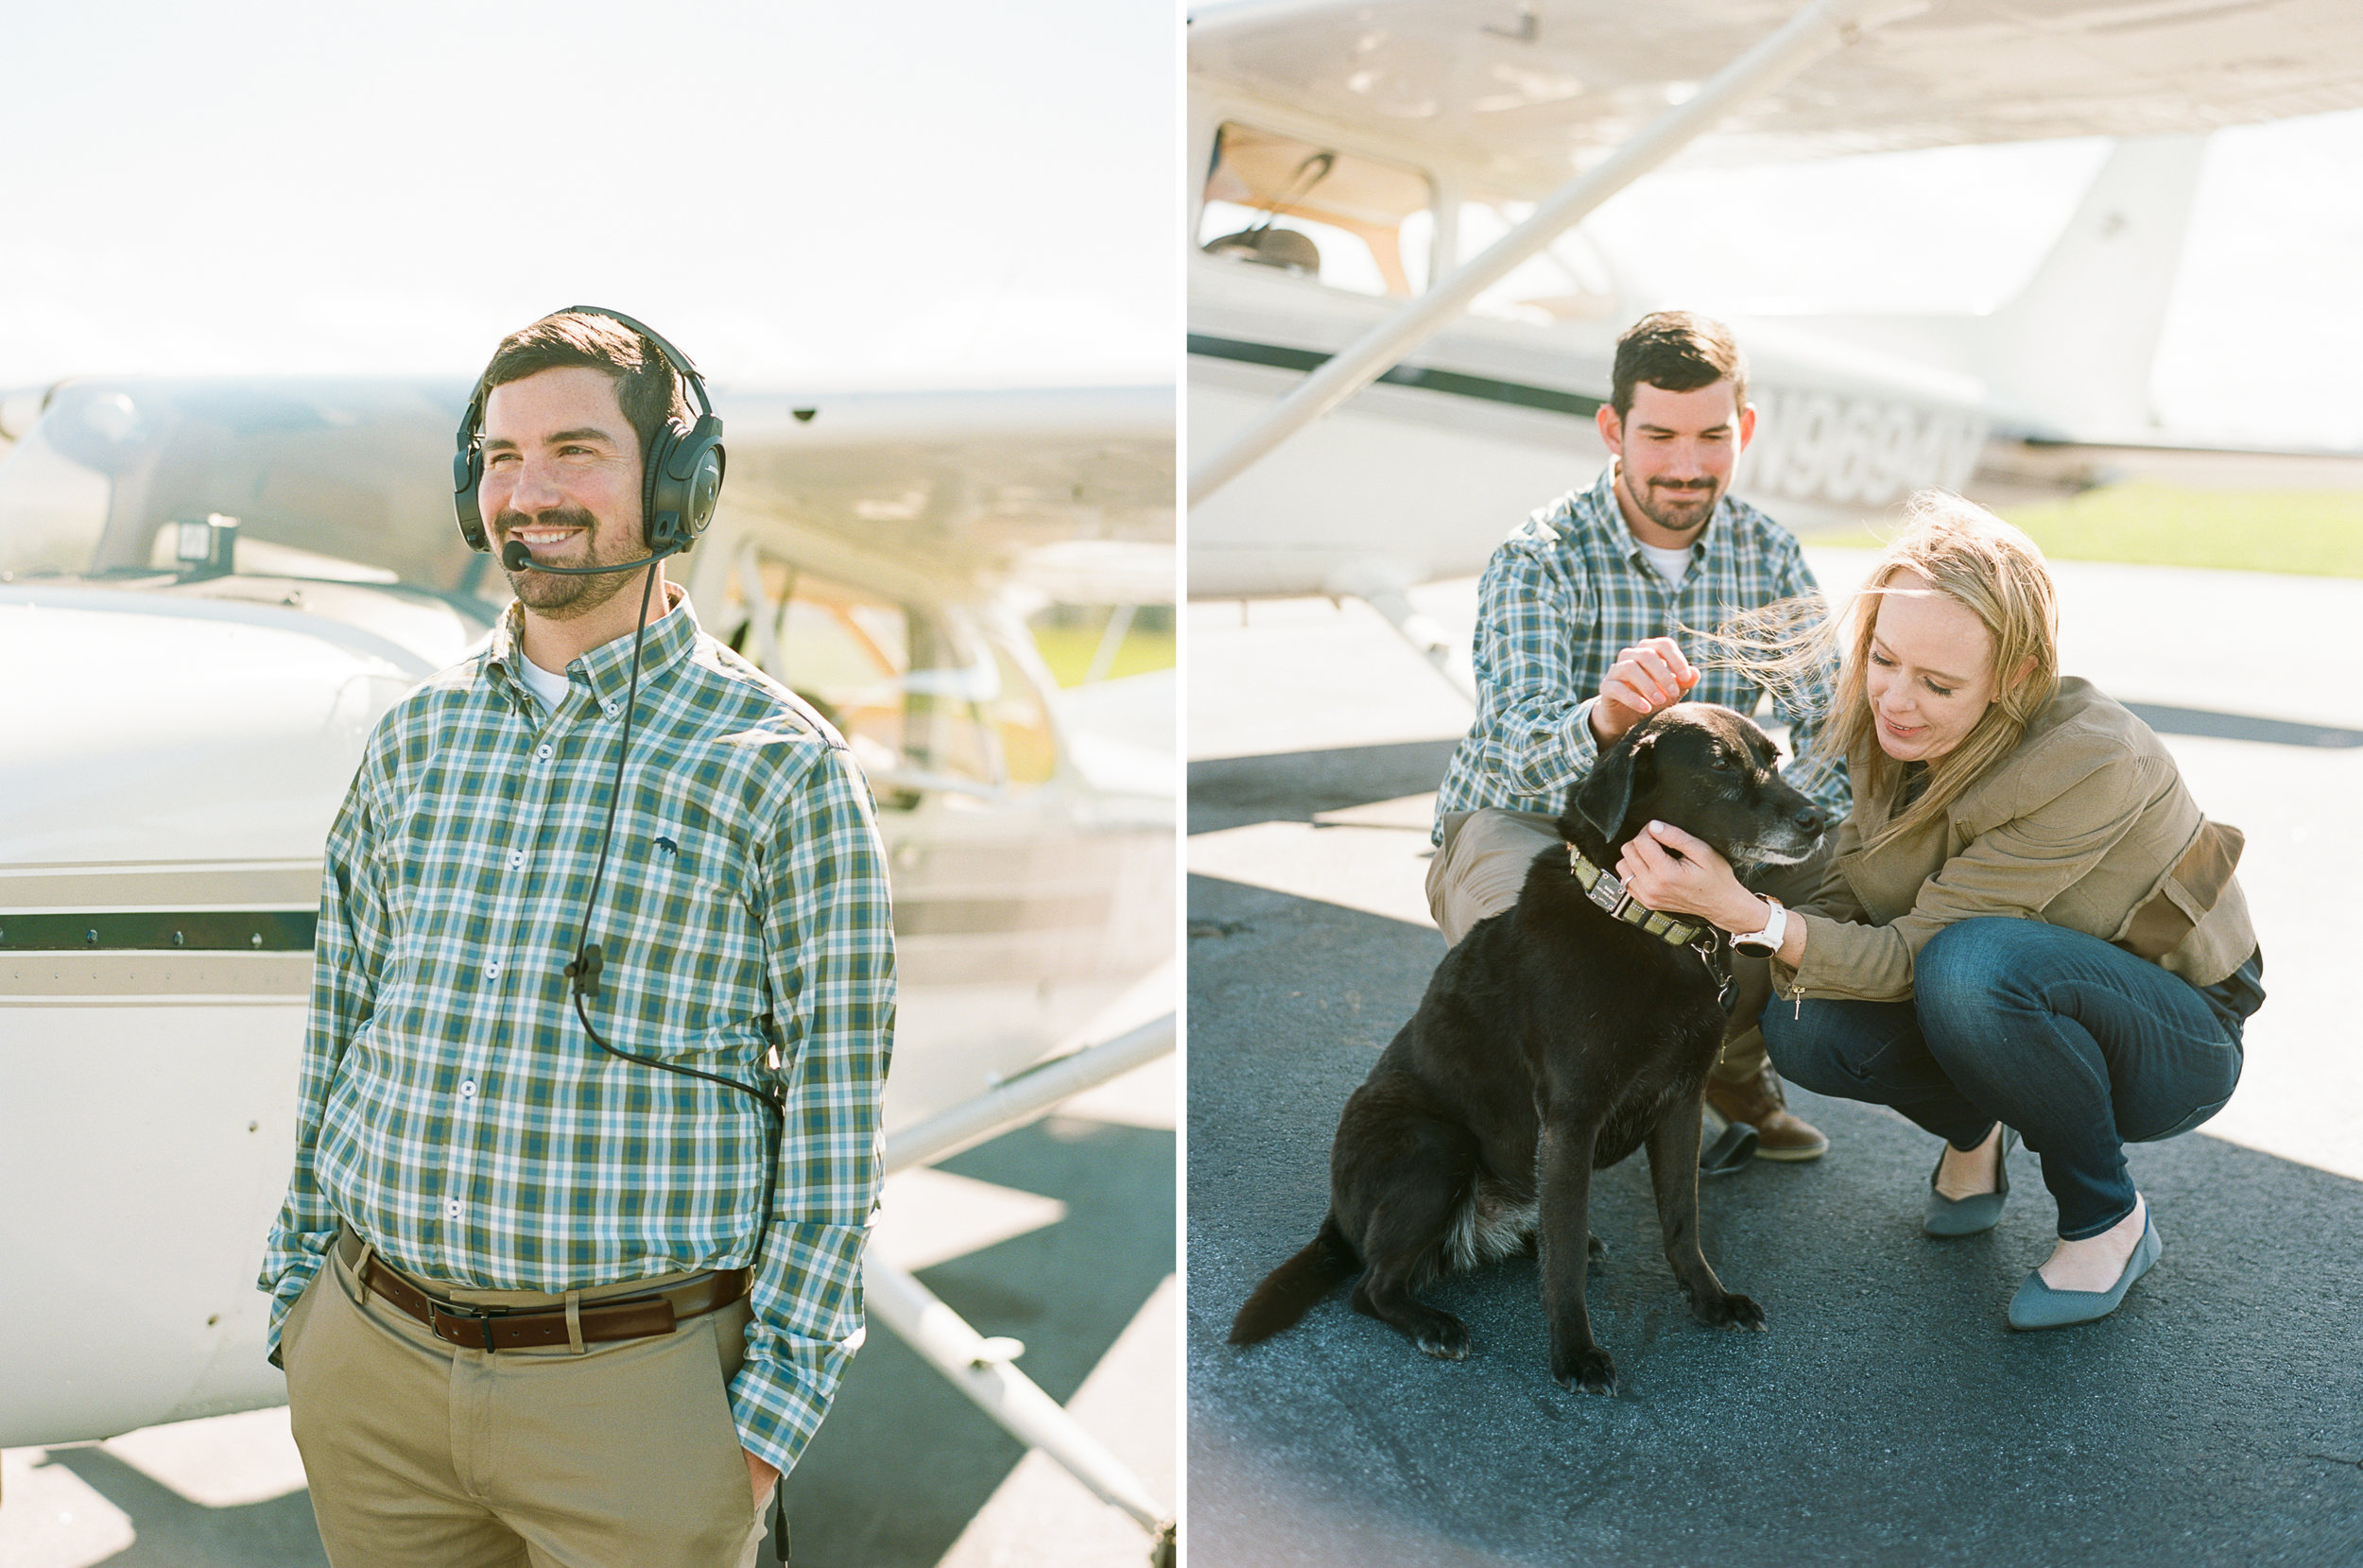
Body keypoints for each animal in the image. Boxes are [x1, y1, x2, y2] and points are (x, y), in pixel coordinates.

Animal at [1238, 703, 1824, 1388]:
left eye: (1774, 757)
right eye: (1720, 767)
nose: (1818, 819)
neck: (1648, 924)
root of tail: (1336, 1212)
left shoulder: (1682, 1105)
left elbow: (1682, 1221)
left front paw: (1710, 1301)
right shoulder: (1572, 1118)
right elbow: (1564, 1256)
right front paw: (1574, 1352)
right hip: (1436, 1145)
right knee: (1372, 1286)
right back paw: (1433, 1324)